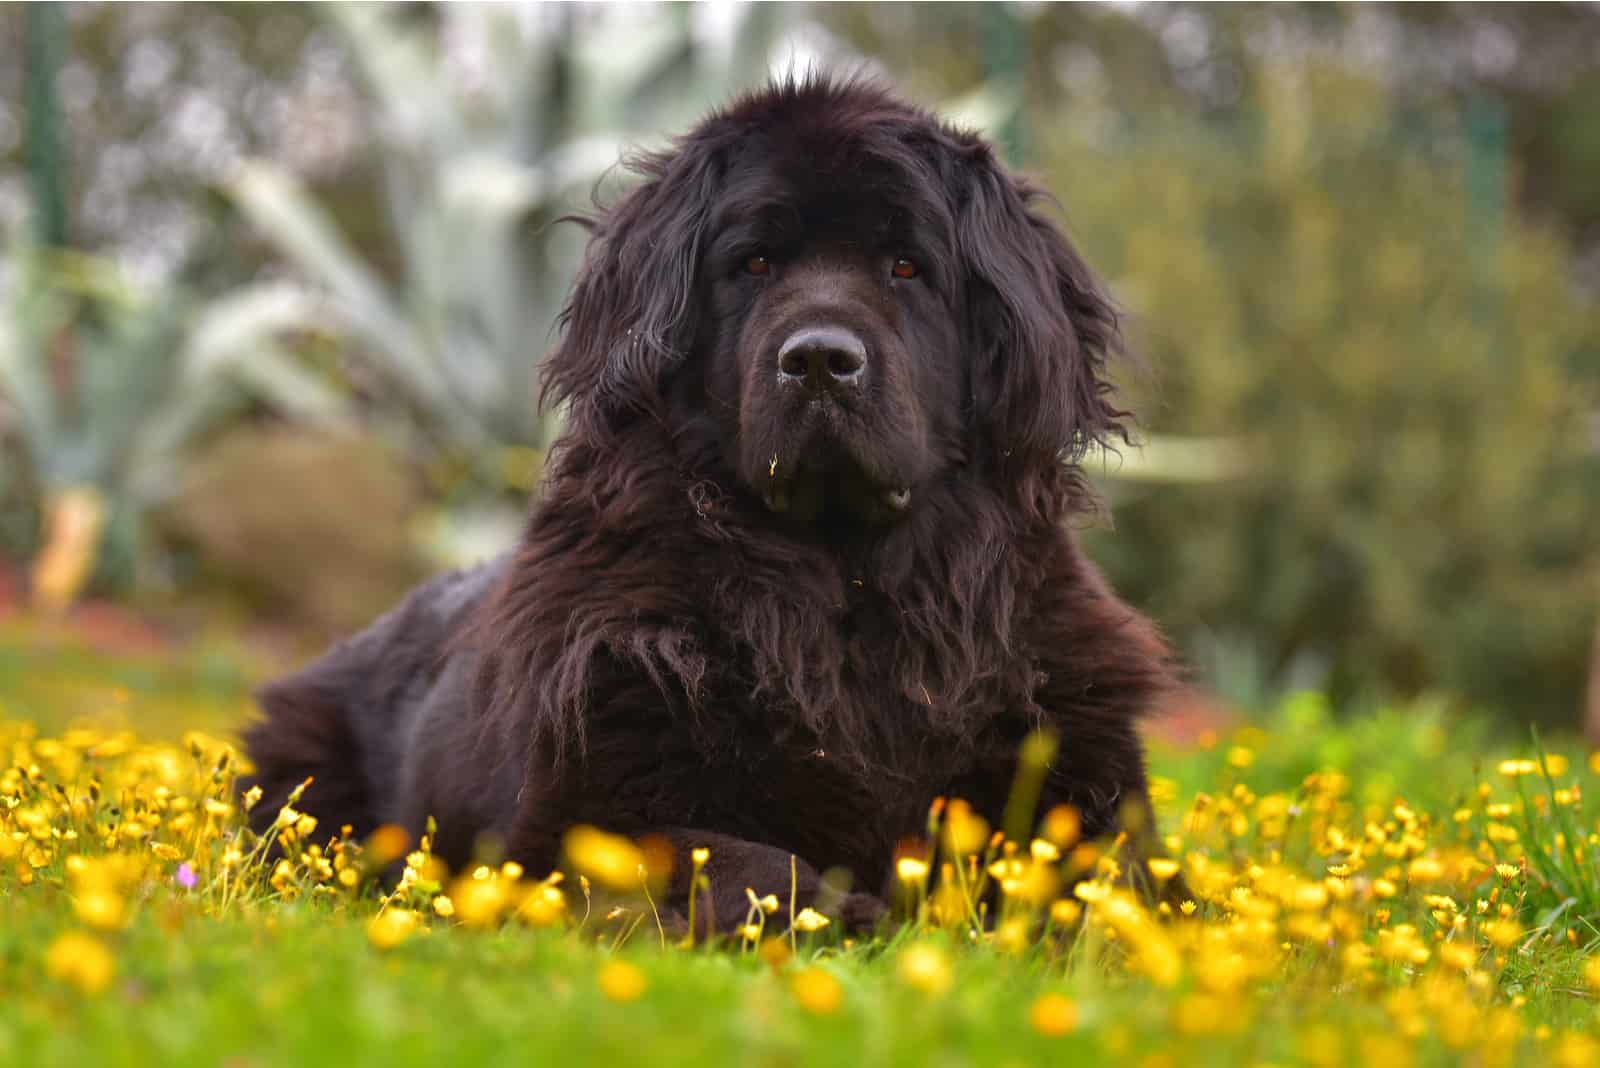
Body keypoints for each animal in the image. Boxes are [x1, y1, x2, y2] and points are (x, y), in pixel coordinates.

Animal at [243, 77, 1184, 927]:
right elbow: (754, 865)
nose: (819, 360)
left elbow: (1121, 887)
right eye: (755, 263)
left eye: (907, 266)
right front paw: (863, 919)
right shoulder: (575, 814)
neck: (847, 586)